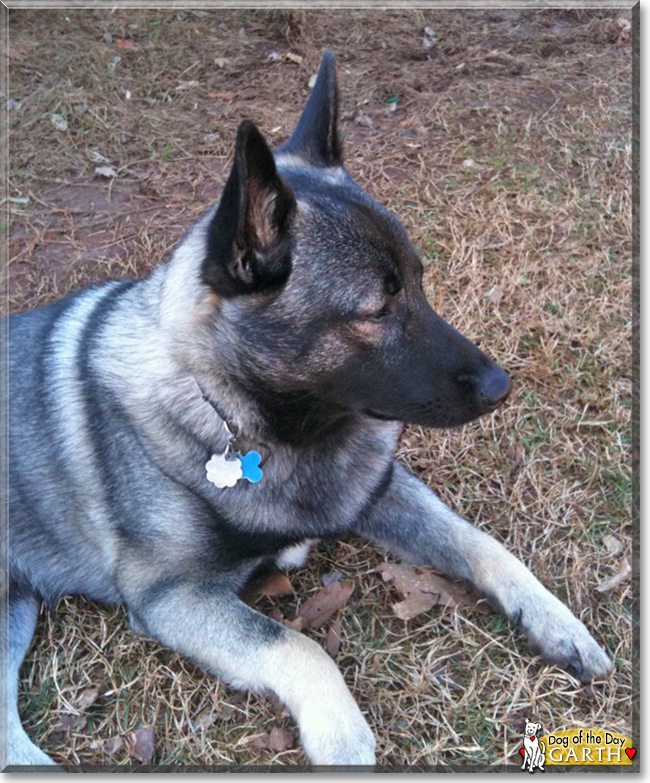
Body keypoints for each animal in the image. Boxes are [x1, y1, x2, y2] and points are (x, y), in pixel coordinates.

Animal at [5, 50, 612, 772]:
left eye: (420, 282)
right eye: (376, 308)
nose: (501, 385)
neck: (251, 424)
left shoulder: (382, 492)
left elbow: (482, 544)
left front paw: (554, 619)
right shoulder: (172, 596)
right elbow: (299, 644)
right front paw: (342, 734)